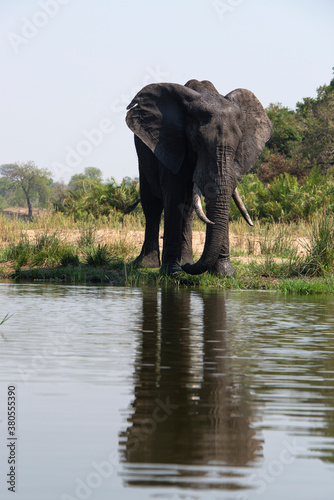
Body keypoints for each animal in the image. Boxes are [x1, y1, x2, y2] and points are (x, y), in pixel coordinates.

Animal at [125, 78, 272, 276]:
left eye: (238, 144)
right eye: (197, 141)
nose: (187, 268)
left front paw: (224, 274)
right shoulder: (170, 143)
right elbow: (173, 195)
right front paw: (172, 272)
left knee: (187, 210)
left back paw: (184, 260)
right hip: (143, 153)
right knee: (152, 204)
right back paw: (147, 264)